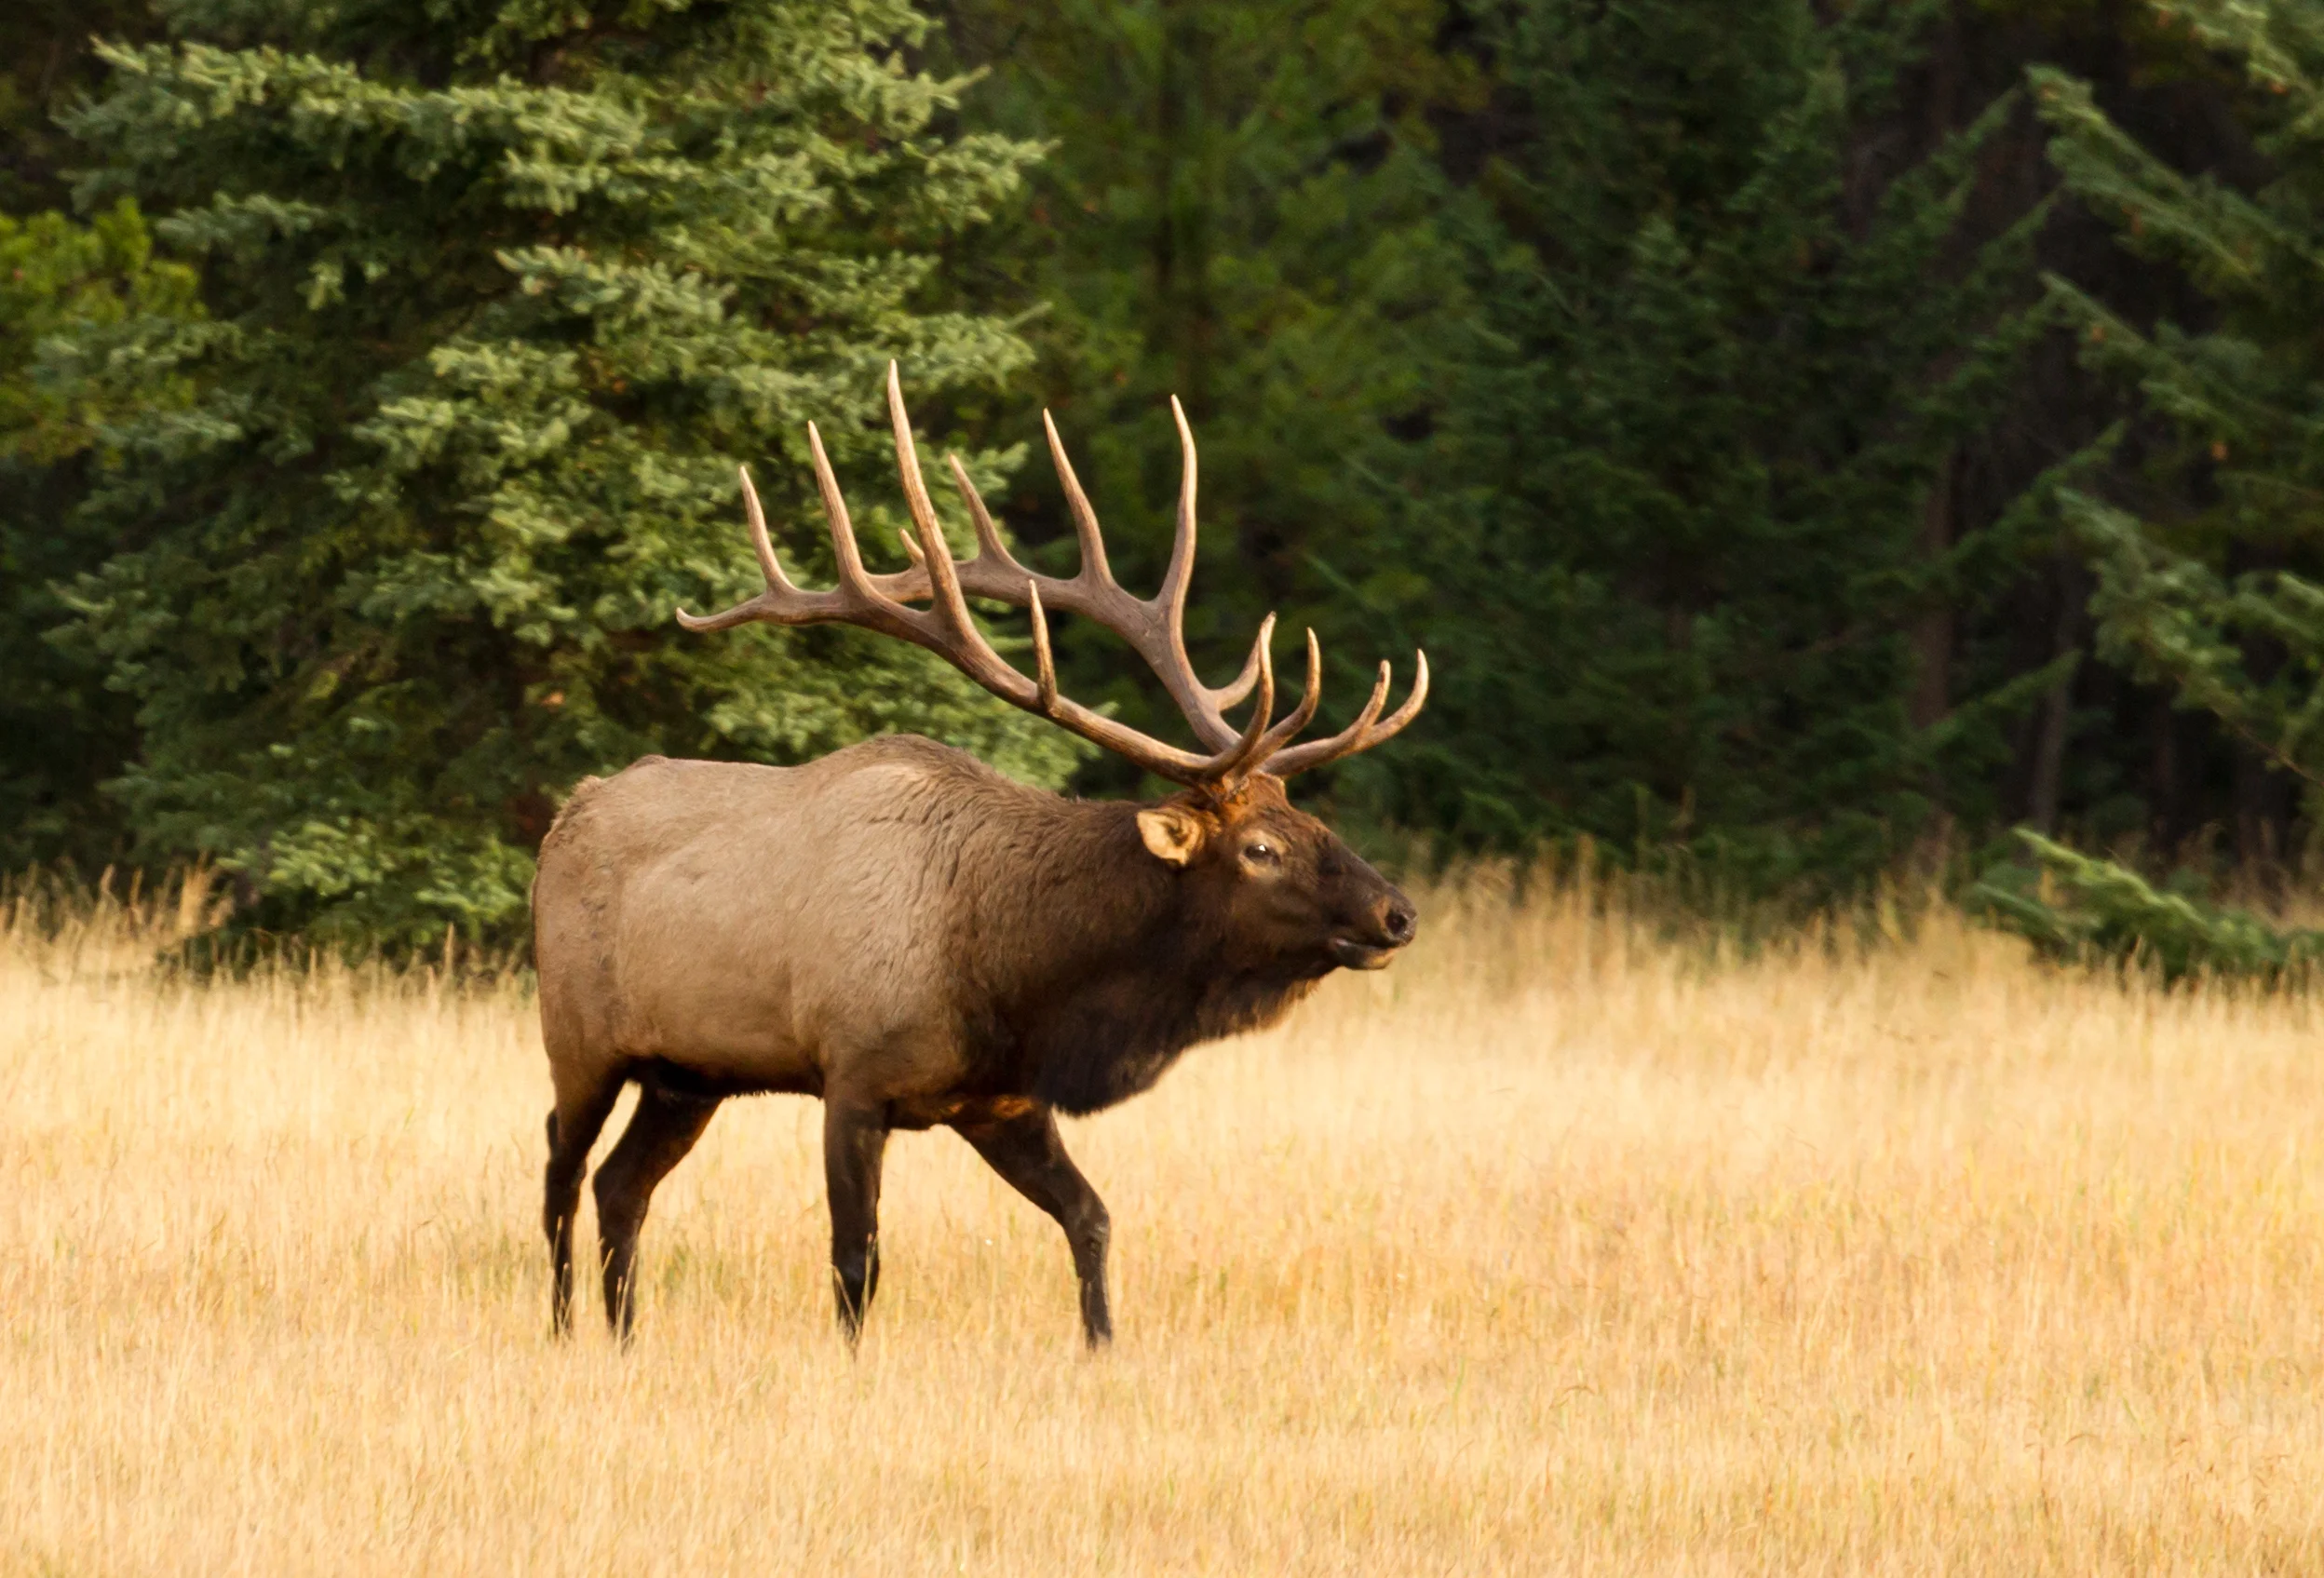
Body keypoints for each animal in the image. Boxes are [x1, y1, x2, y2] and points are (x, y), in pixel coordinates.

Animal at [533, 364, 1427, 1347]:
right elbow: (856, 1262)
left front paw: (1102, 1346)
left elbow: (1092, 1218)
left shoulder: (1000, 1099)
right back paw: (565, 1328)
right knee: (559, 1171)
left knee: (621, 1186)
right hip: (578, 1035)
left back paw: (624, 1334)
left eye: (1310, 821)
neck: (1013, 973)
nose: (1396, 912)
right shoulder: (853, 1072)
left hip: (688, 1076)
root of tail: (565, 814)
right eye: (1261, 847)